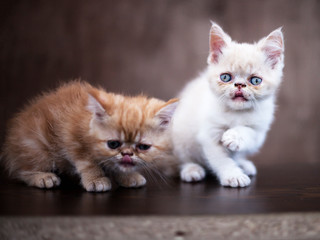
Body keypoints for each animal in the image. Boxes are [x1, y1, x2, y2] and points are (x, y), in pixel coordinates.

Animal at [1, 81, 178, 192]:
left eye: (143, 147)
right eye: (113, 144)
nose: (127, 153)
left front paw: (127, 176)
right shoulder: (71, 137)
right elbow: (87, 163)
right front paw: (96, 179)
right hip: (36, 147)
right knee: (22, 171)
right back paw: (43, 177)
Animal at [172, 22, 284, 188]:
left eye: (255, 80)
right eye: (225, 77)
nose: (239, 85)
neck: (236, 113)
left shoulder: (259, 131)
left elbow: (249, 132)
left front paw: (234, 136)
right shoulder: (209, 134)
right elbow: (221, 160)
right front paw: (233, 175)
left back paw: (243, 164)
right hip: (179, 135)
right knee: (181, 159)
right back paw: (191, 169)